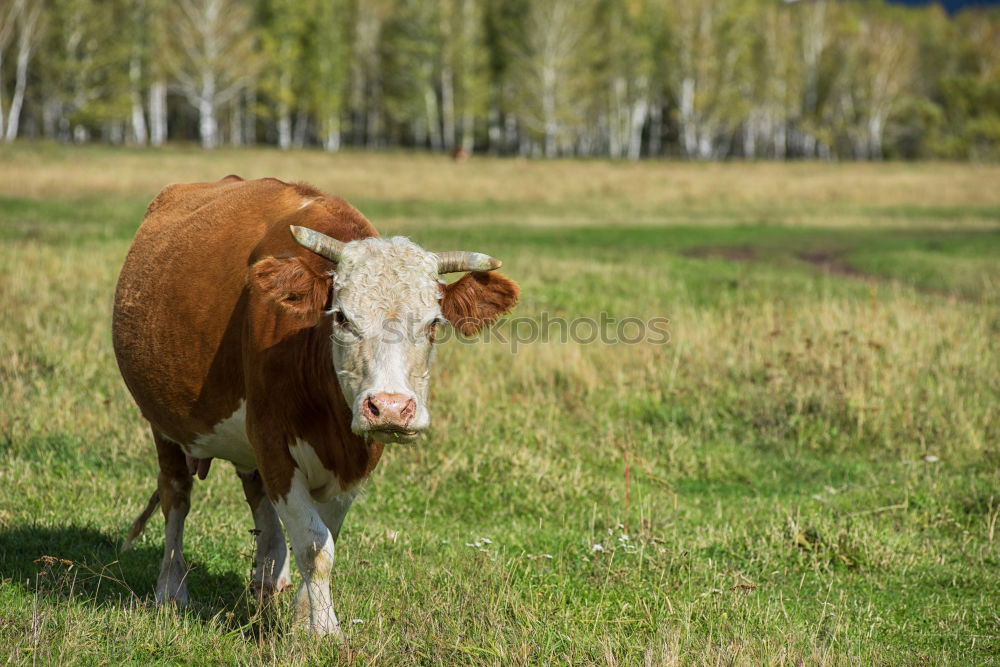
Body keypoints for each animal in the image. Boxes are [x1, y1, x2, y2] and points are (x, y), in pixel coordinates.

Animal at [113, 176, 520, 636]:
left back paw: (268, 578)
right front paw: (322, 630)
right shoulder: (272, 441)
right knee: (176, 497)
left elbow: (325, 536)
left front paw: (304, 618)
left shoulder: (355, 460)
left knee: (257, 501)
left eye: (434, 322)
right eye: (341, 316)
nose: (390, 408)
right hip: (164, 425)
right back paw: (171, 589)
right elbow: (313, 543)